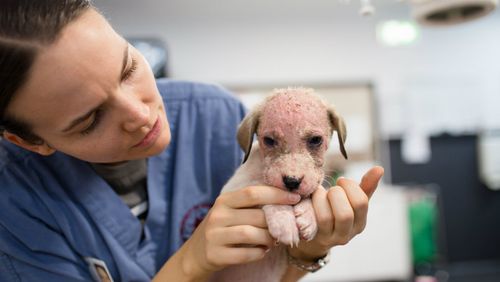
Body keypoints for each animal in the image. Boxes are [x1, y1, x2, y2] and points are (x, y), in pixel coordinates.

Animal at [211, 87, 348, 280]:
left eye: (315, 140)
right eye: (269, 140)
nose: (292, 181)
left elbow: (313, 190)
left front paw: (308, 215)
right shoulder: (234, 188)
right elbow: (264, 188)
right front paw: (284, 221)